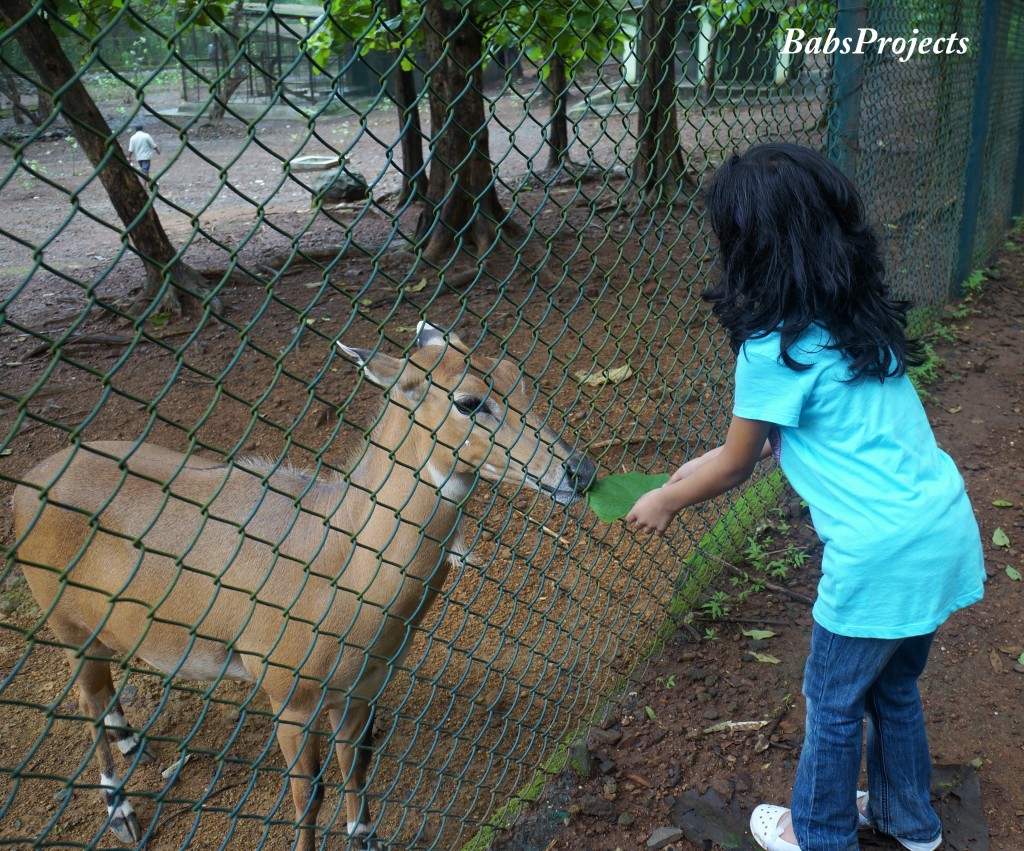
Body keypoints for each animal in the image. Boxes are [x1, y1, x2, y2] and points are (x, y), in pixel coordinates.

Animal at [12, 323, 598, 847]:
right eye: (469, 401)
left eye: (517, 375)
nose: (580, 472)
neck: (343, 573)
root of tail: (26, 485)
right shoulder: (288, 694)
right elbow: (308, 798)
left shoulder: (363, 686)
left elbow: (357, 772)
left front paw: (367, 840)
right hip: (63, 618)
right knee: (85, 698)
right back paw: (122, 813)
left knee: (102, 690)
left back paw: (134, 742)